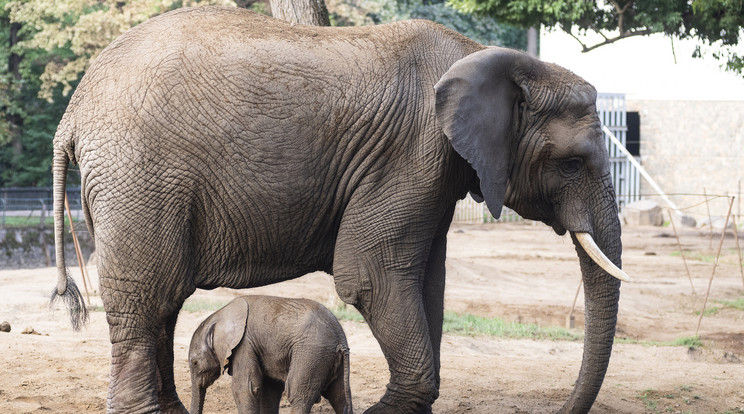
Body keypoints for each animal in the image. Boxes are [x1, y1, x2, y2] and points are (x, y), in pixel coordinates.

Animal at [189, 296, 352, 412]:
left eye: (195, 363)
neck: (219, 316)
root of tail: (340, 336)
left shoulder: (244, 344)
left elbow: (245, 389)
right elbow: (269, 391)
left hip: (312, 352)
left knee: (297, 394)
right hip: (329, 357)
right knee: (340, 397)